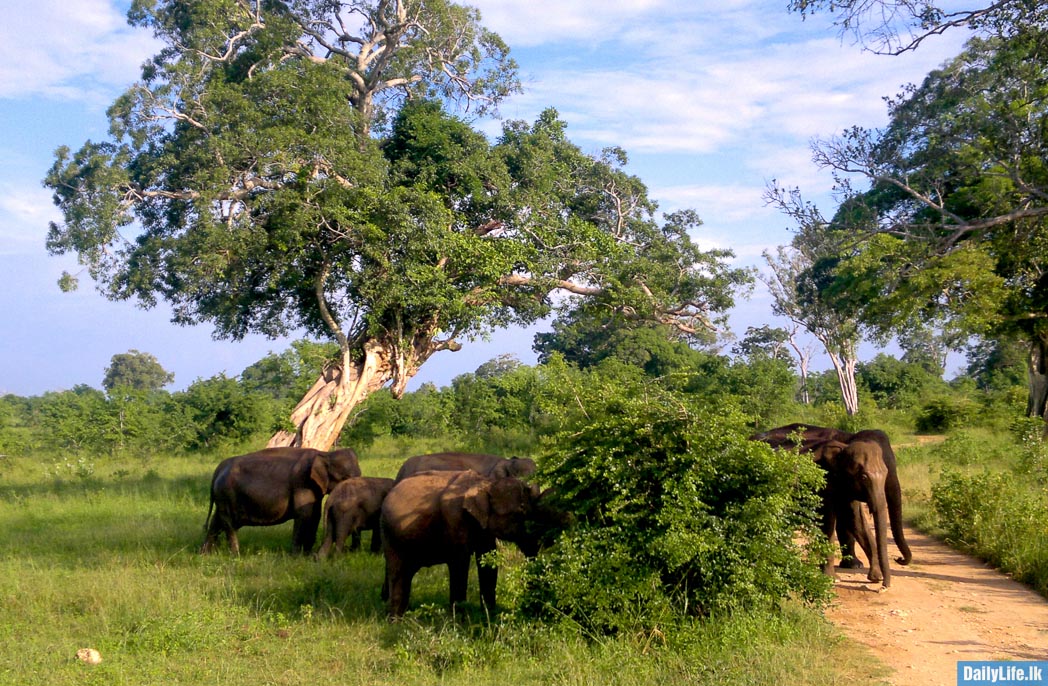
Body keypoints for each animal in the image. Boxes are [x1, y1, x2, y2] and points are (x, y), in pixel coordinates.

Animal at [202, 446, 362, 557]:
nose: (351, 550)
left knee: (216, 521)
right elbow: (304, 515)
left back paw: (205, 555)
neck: (324, 454)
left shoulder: (313, 488)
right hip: (226, 495)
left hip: (223, 498)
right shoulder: (302, 483)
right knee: (229, 524)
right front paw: (296, 556)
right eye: (345, 478)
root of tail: (219, 468)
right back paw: (236, 555)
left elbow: (314, 515)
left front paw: (307, 554)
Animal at [381, 469, 553, 620]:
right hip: (389, 535)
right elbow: (459, 563)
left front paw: (489, 616)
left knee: (407, 573)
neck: (486, 483)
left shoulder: (483, 527)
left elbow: (487, 560)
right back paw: (395, 622)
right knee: (397, 572)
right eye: (520, 514)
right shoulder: (454, 519)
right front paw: (460, 620)